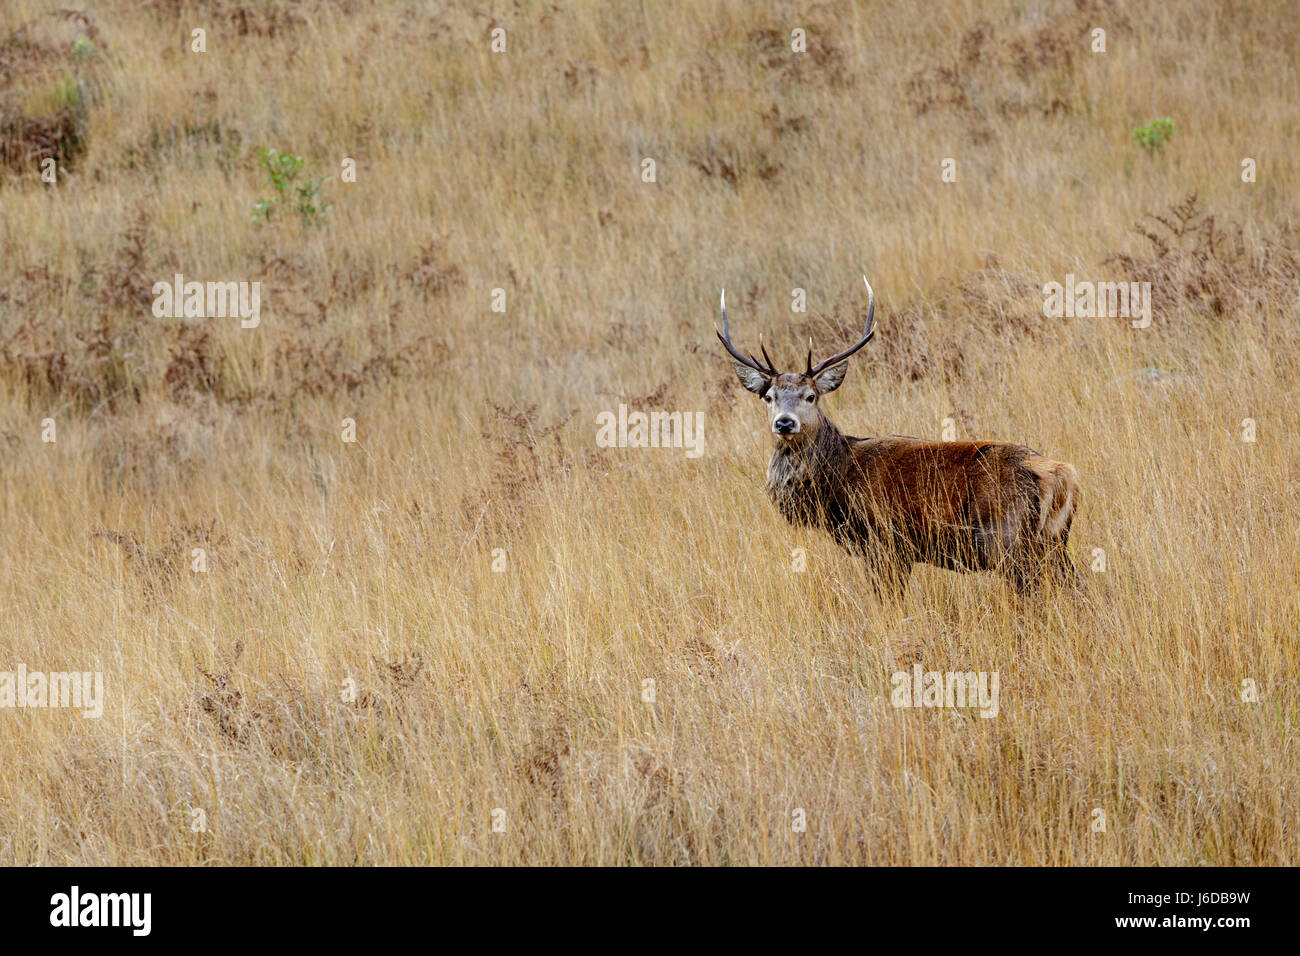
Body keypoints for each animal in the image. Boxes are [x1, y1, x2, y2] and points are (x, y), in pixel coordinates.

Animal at [717, 276, 1081, 595]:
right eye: (769, 396)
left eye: (811, 396)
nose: (784, 423)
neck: (836, 481)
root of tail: (1062, 475)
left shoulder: (884, 542)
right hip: (1053, 543)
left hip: (1011, 543)